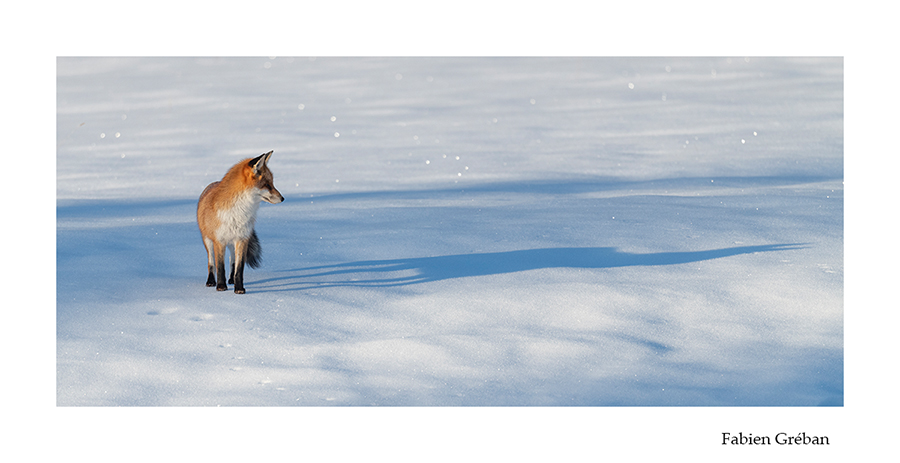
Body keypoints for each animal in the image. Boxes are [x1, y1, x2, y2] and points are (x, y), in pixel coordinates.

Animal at [197, 150, 284, 294]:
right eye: (267, 185)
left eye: (272, 183)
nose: (282, 198)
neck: (239, 212)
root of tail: (212, 183)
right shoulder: (219, 241)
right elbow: (220, 267)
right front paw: (221, 286)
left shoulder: (243, 239)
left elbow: (239, 268)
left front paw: (239, 288)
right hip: (208, 241)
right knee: (211, 262)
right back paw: (211, 281)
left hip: (233, 242)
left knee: (232, 261)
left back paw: (231, 280)